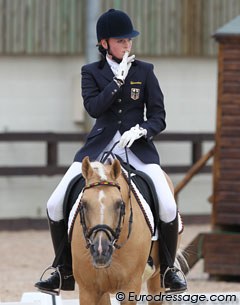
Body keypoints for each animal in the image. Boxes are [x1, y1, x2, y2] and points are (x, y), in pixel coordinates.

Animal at [71, 157, 182, 304]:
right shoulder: (88, 290)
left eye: (119, 204)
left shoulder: (130, 286)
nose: (101, 250)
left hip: (157, 280)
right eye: (83, 204)